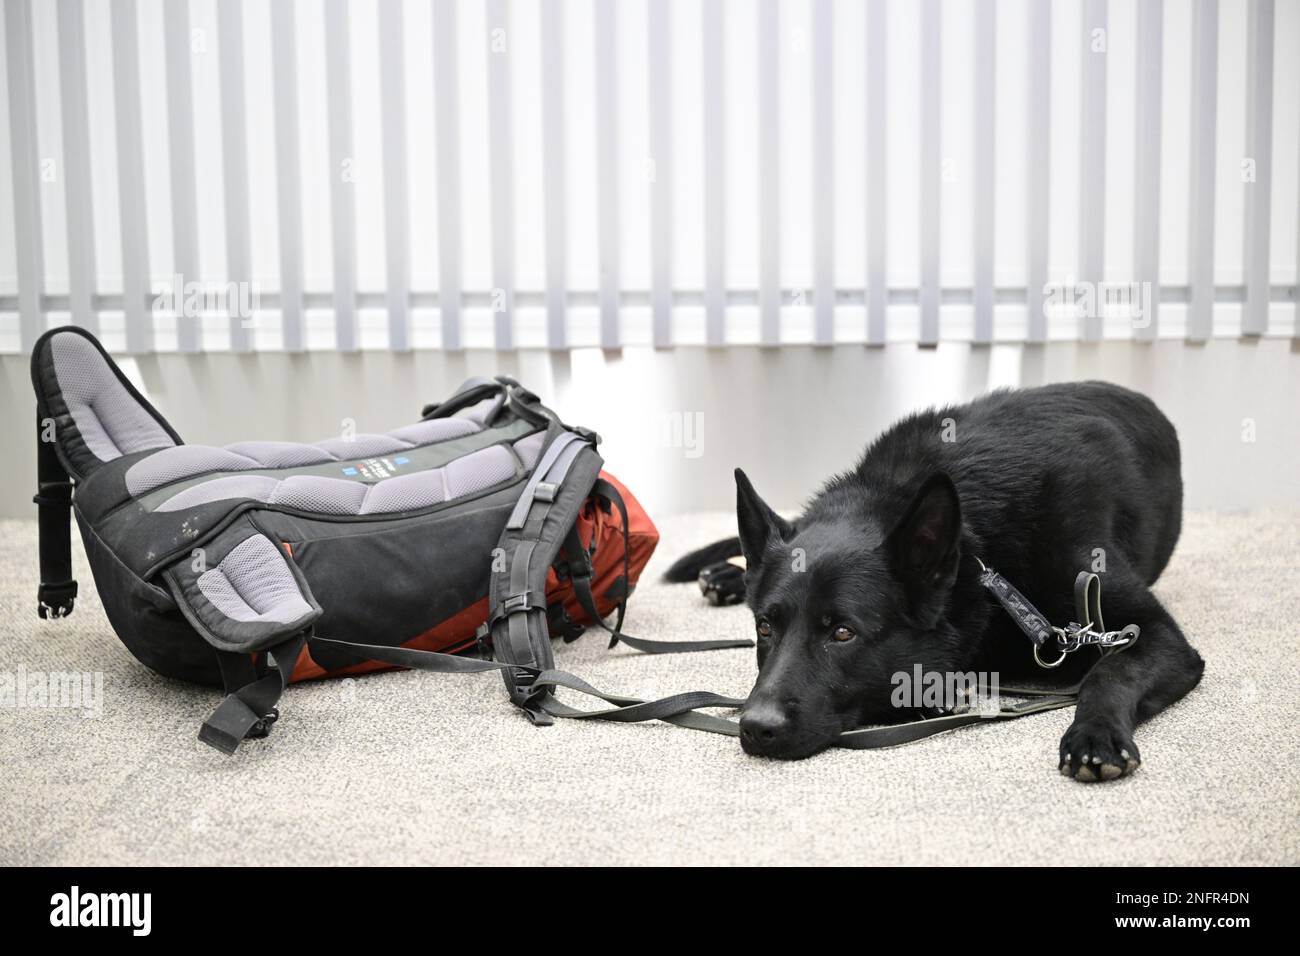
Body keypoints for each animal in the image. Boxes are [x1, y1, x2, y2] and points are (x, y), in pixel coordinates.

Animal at [670, 379, 1206, 780]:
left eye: (842, 633)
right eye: (765, 628)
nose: (754, 728)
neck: (980, 554)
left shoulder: (1150, 632)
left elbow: (1111, 672)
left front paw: (1094, 734)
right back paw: (725, 575)